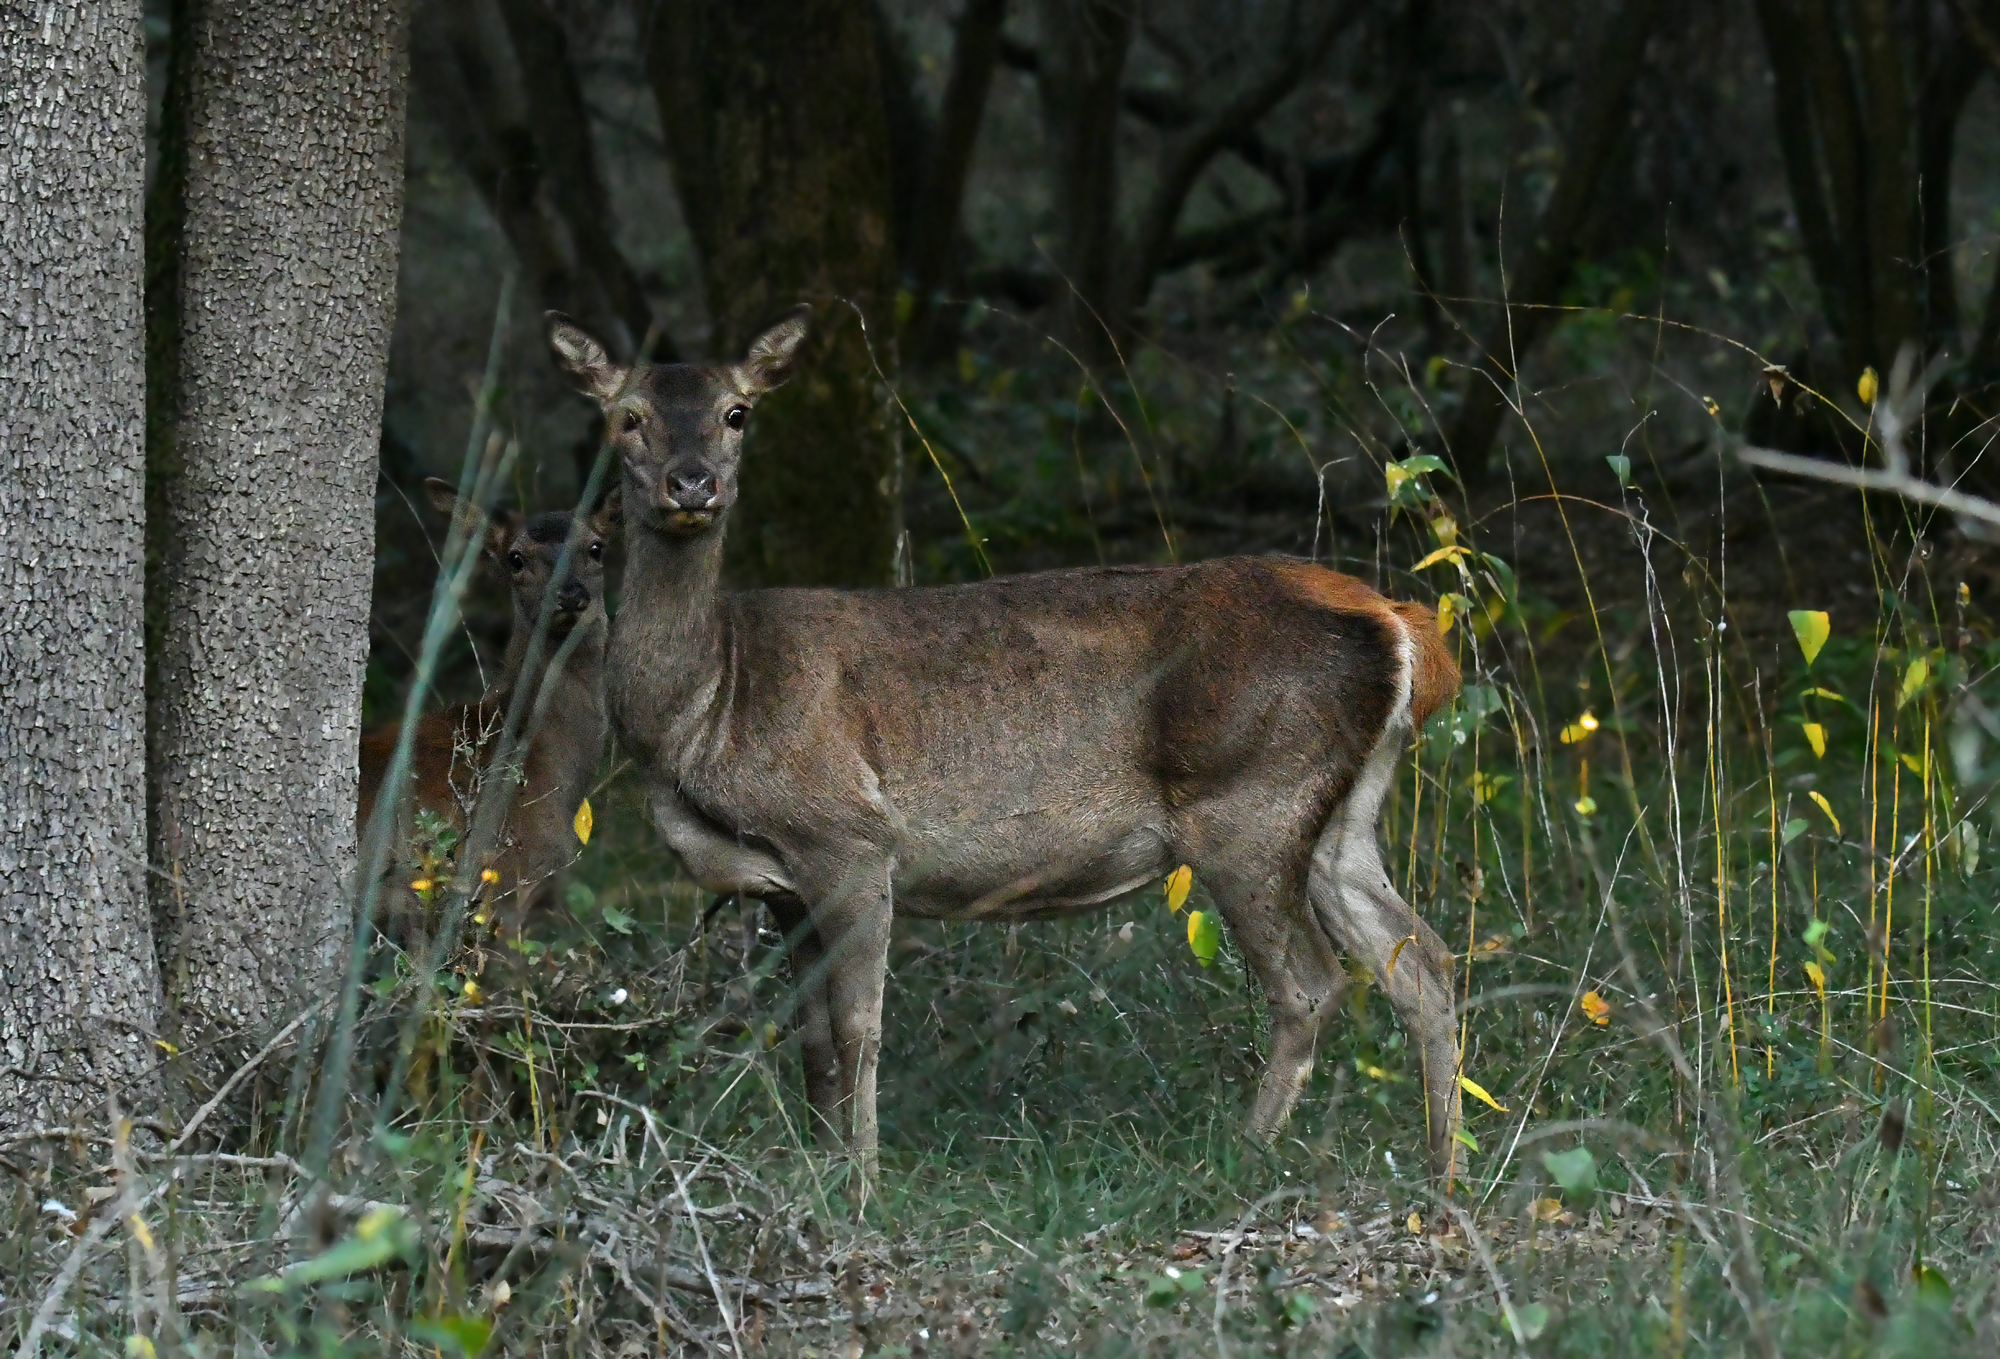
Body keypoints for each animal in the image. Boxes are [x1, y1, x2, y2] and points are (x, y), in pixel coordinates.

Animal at [545, 307, 1466, 1181]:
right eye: (627, 417)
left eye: (737, 412)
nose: (692, 483)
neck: (706, 707)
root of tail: (1403, 626)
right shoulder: (781, 886)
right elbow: (809, 1036)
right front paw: (818, 1166)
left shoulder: (847, 834)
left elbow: (859, 1025)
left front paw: (861, 1184)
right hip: (1339, 813)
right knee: (1424, 960)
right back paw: (1443, 1175)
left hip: (1248, 800)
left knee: (1313, 984)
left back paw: (1243, 1157)